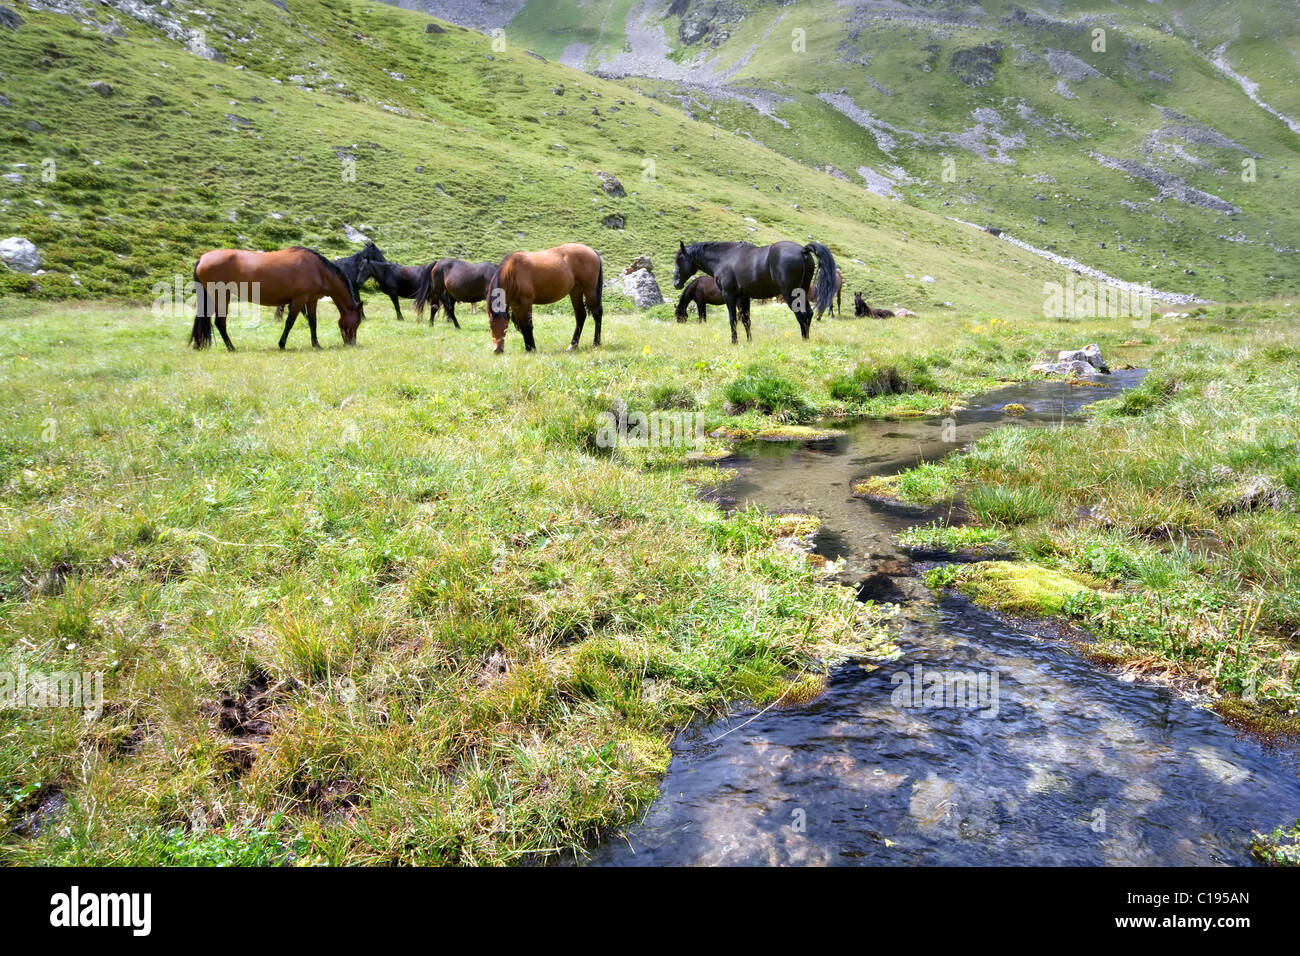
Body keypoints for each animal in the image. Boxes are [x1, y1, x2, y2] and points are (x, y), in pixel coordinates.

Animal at [188, 247, 364, 351]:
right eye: (356, 322)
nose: (351, 343)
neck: (319, 270)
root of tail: (202, 258)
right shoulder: (299, 300)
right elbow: (289, 322)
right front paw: (282, 344)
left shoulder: (311, 300)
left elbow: (313, 322)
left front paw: (316, 344)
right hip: (221, 296)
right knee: (220, 322)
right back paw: (231, 347)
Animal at [676, 239, 837, 343]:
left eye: (679, 260)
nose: (676, 283)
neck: (724, 258)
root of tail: (803, 250)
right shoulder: (743, 298)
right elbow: (746, 320)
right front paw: (749, 341)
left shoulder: (729, 296)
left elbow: (733, 320)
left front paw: (734, 342)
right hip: (802, 292)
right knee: (808, 313)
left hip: (791, 295)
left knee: (802, 316)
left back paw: (804, 340)